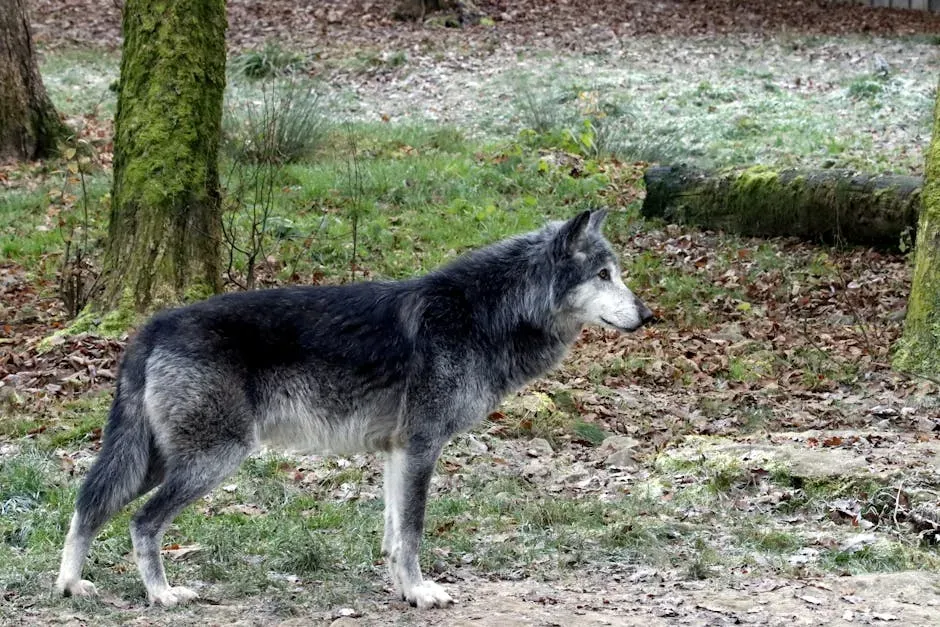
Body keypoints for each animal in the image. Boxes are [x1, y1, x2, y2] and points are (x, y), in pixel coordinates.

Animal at [55, 209, 653, 609]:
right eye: (603, 275)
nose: (648, 316)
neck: (484, 315)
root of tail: (152, 326)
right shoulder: (420, 448)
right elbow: (412, 532)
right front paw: (422, 593)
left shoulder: (396, 453)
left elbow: (393, 535)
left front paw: (403, 590)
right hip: (209, 462)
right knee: (141, 521)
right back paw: (161, 596)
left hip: (155, 461)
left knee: (88, 504)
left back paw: (70, 585)